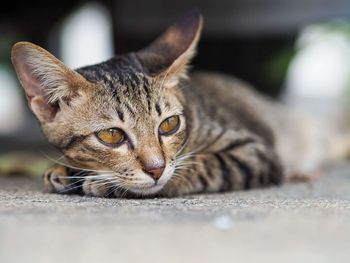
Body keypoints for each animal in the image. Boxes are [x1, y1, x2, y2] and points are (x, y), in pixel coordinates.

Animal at [10, 8, 350, 198]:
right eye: (111, 135)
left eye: (169, 125)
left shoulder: (254, 150)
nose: (156, 169)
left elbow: (202, 166)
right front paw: (65, 172)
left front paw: (100, 183)